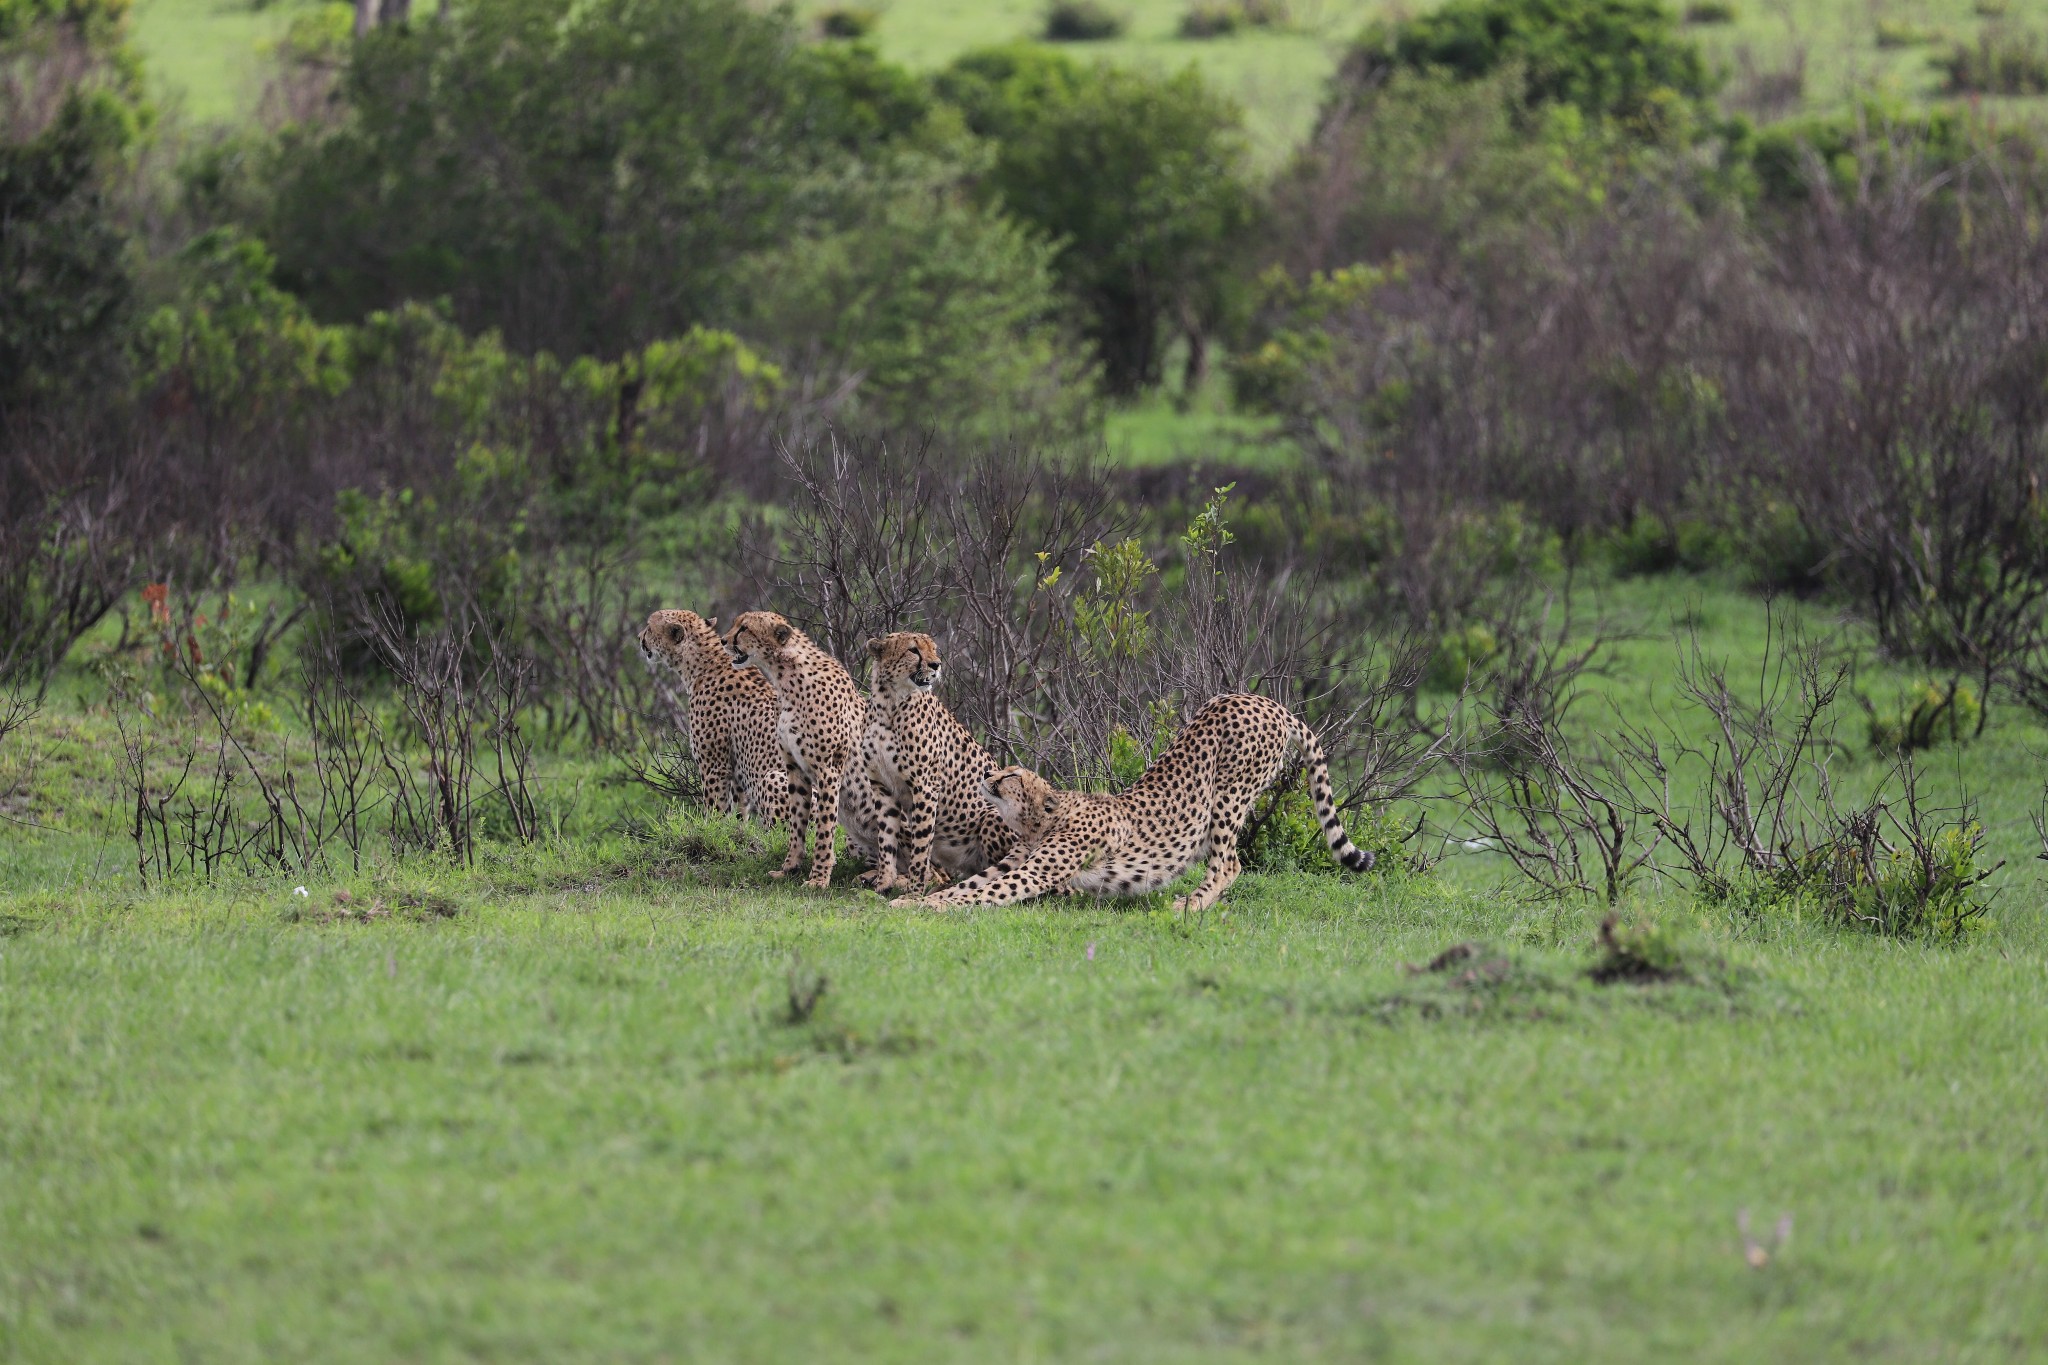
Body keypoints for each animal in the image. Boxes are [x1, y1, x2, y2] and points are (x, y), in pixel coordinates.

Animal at [630, 613, 782, 826]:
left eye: (649, 628)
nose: (638, 637)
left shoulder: (714, 765)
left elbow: (715, 808)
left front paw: (710, 828)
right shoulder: (737, 770)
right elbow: (739, 813)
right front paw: (736, 831)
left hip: (774, 777)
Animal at [724, 609, 868, 888]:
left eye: (744, 628)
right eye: (735, 624)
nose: (724, 640)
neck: (787, 679)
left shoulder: (828, 771)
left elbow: (823, 829)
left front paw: (819, 878)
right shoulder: (794, 769)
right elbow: (796, 823)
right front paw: (790, 867)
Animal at [856, 634, 1015, 892]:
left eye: (933, 649)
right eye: (913, 650)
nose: (936, 665)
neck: (889, 703)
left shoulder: (925, 787)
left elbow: (921, 844)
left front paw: (914, 890)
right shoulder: (883, 788)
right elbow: (886, 840)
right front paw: (883, 884)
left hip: (992, 814)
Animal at [901, 699, 1368, 912]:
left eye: (1013, 776)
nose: (990, 777)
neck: (1041, 822)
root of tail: (1262, 700)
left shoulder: (1036, 871)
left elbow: (984, 892)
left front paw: (926, 907)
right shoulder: (1015, 861)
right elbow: (969, 885)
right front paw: (913, 901)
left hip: (1228, 797)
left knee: (1229, 863)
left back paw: (1190, 904)